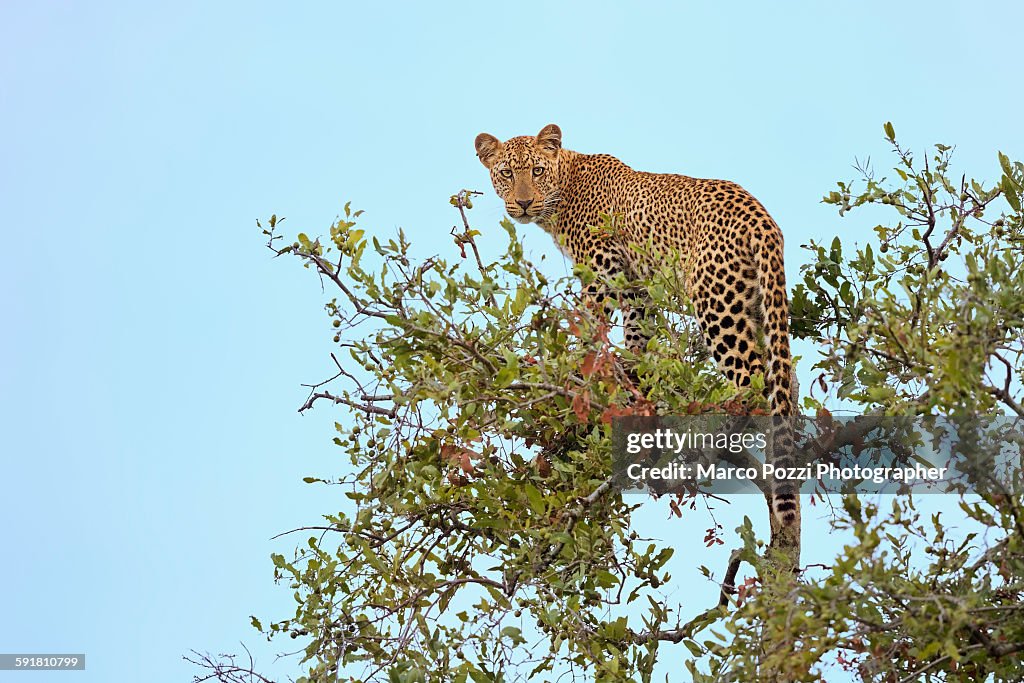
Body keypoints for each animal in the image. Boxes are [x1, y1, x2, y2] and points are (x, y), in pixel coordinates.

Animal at [475, 124, 802, 557]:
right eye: (507, 173)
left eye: (537, 170)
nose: (525, 203)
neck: (562, 192)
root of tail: (761, 216)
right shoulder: (636, 285)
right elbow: (637, 334)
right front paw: (636, 383)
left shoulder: (601, 274)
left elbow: (591, 330)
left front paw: (581, 374)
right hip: (755, 302)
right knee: (777, 374)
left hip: (715, 302)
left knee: (750, 374)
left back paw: (722, 425)